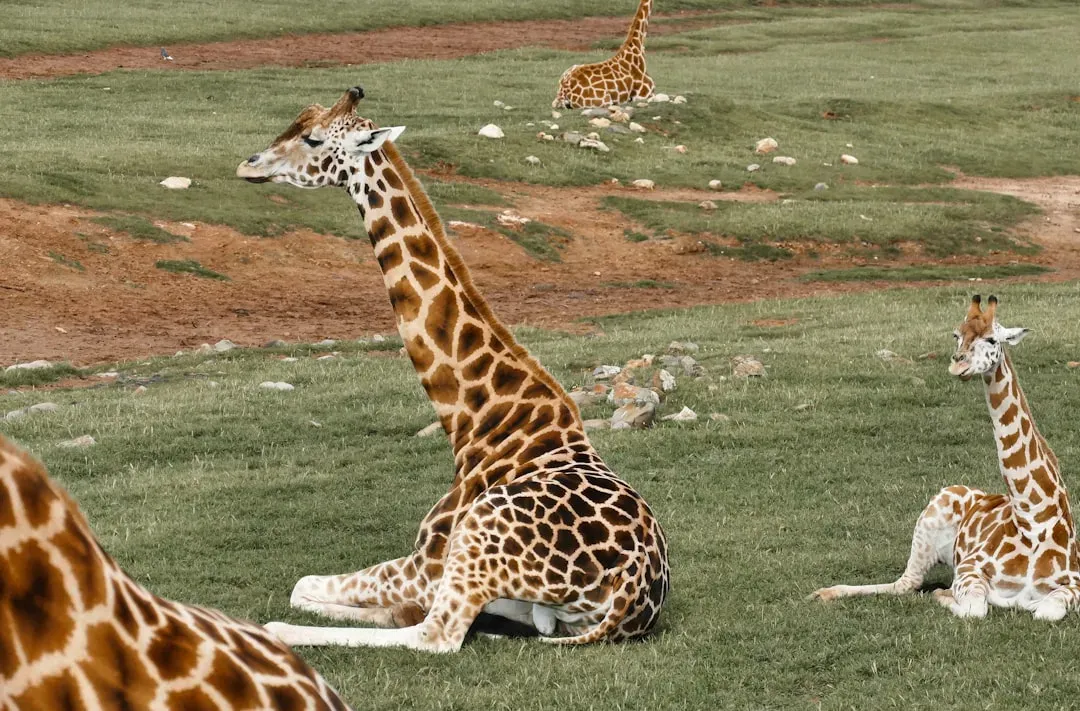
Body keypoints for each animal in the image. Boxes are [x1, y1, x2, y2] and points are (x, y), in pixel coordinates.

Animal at [235, 87, 670, 653]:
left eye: (311, 138)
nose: (248, 165)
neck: (474, 422)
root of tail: (631, 597)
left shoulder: (427, 564)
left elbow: (302, 585)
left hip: (478, 544)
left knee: (434, 635)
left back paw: (277, 632)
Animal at [812, 295, 1080, 620]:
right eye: (956, 334)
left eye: (992, 339)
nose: (957, 364)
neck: (1033, 519)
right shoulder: (968, 569)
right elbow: (975, 608)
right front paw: (944, 594)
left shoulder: (1074, 585)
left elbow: (1045, 610)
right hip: (929, 520)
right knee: (905, 583)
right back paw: (824, 592)